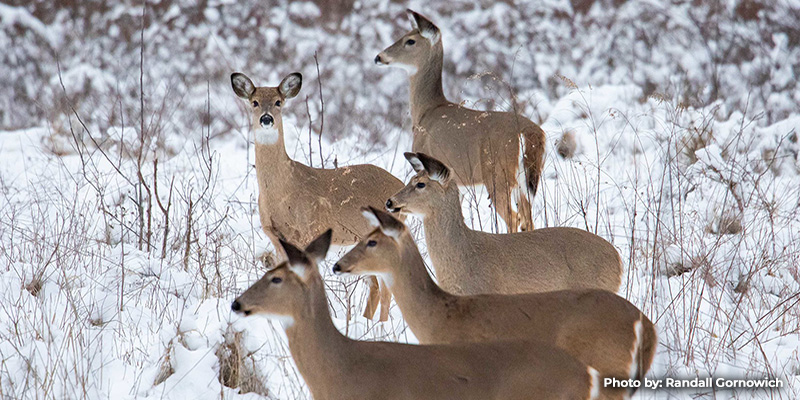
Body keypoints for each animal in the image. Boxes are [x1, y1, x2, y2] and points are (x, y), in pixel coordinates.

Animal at [230, 71, 400, 321]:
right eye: (254, 102)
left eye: (278, 102)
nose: (266, 119)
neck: (283, 192)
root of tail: (400, 183)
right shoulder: (275, 237)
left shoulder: (309, 230)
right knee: (376, 286)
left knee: (386, 286)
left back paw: (379, 325)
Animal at [375, 9, 546, 233]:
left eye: (410, 40)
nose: (379, 57)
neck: (427, 110)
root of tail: (529, 131)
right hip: (524, 182)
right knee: (527, 219)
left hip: (498, 175)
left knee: (514, 218)